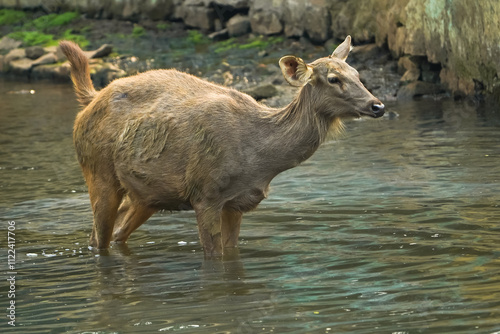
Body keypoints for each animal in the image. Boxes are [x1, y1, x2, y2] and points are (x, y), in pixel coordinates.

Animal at [59, 36, 386, 256]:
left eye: (358, 75)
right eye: (333, 78)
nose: (378, 105)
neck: (259, 160)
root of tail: (91, 100)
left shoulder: (238, 202)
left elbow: (231, 253)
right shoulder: (205, 194)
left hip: (146, 195)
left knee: (117, 233)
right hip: (98, 172)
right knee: (97, 239)